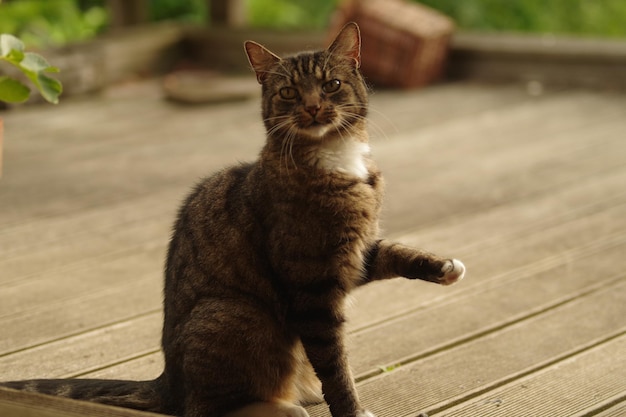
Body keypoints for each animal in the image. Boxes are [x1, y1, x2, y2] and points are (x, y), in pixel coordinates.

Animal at [1, 22, 464, 416]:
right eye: (289, 92)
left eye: (331, 84)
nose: (314, 107)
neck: (336, 158)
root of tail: (169, 381)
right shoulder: (311, 285)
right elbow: (335, 366)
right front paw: (351, 408)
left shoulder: (355, 255)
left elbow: (396, 252)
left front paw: (443, 267)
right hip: (241, 314)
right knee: (209, 407)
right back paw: (282, 406)